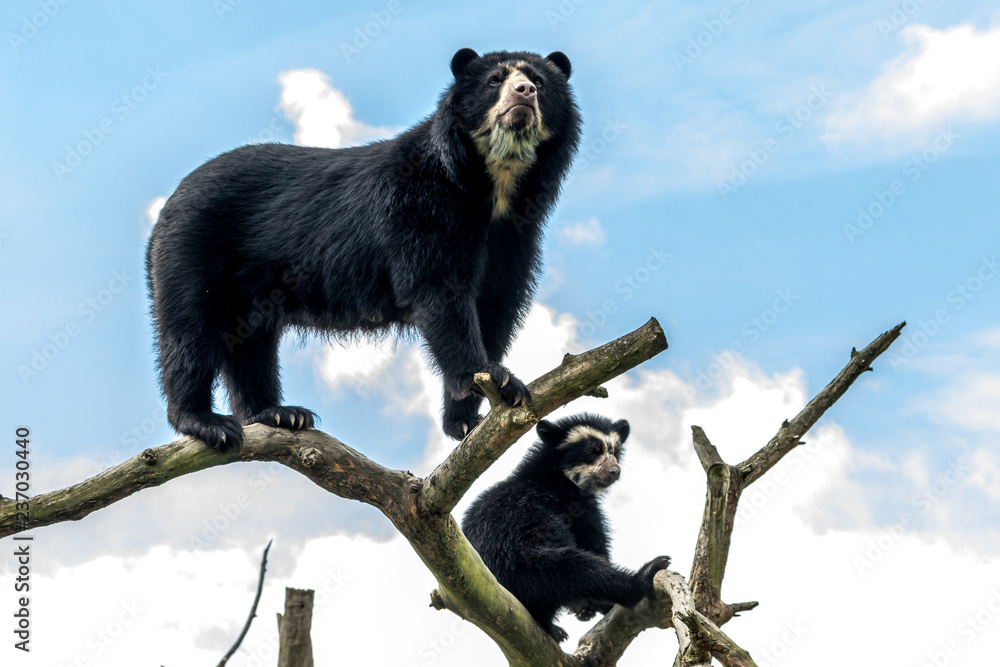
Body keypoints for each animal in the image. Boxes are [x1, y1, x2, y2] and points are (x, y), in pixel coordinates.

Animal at [145, 48, 581, 449]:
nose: (524, 93)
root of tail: (170, 202)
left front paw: (466, 421)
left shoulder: (515, 234)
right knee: (190, 331)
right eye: (494, 80)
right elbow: (439, 290)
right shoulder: (422, 210)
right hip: (194, 248)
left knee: (250, 341)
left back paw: (277, 414)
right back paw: (207, 423)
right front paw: (496, 378)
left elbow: (495, 305)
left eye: (539, 82)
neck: (493, 186)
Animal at [461, 413, 671, 643]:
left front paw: (586, 608)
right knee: (578, 567)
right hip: (526, 566)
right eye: (593, 451)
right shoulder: (579, 509)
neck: (556, 475)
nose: (614, 471)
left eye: (615, 450)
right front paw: (602, 604)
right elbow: (596, 546)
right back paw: (642, 577)